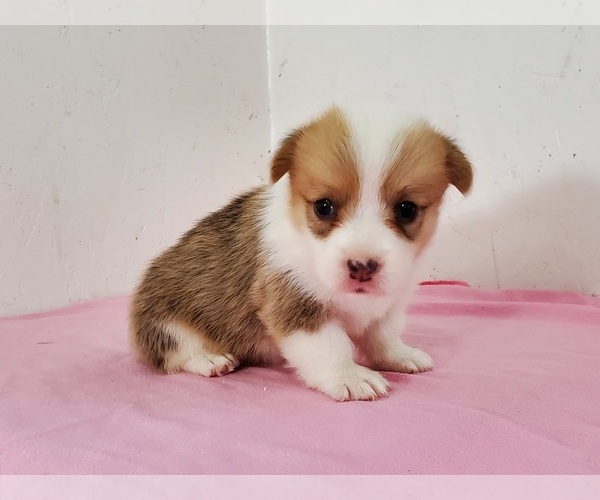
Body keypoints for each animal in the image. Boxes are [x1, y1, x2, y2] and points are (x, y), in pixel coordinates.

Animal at [129, 106, 472, 402]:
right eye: (324, 206)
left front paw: (399, 356)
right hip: (165, 322)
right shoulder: (295, 305)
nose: (362, 266)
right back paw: (210, 359)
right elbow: (330, 347)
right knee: (174, 353)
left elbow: (383, 336)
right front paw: (349, 376)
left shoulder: (389, 303)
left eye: (407, 209)